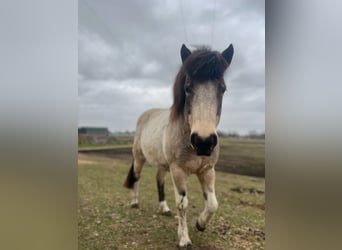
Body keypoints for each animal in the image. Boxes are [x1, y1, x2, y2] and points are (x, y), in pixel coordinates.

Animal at [124, 43, 234, 248]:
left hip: (162, 164)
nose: (204, 142)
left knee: (159, 180)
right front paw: (184, 239)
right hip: (139, 158)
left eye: (222, 88)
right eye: (188, 87)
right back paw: (134, 203)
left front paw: (200, 224)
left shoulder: (207, 170)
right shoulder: (178, 171)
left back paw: (164, 208)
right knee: (136, 177)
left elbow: (212, 204)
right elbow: (182, 204)